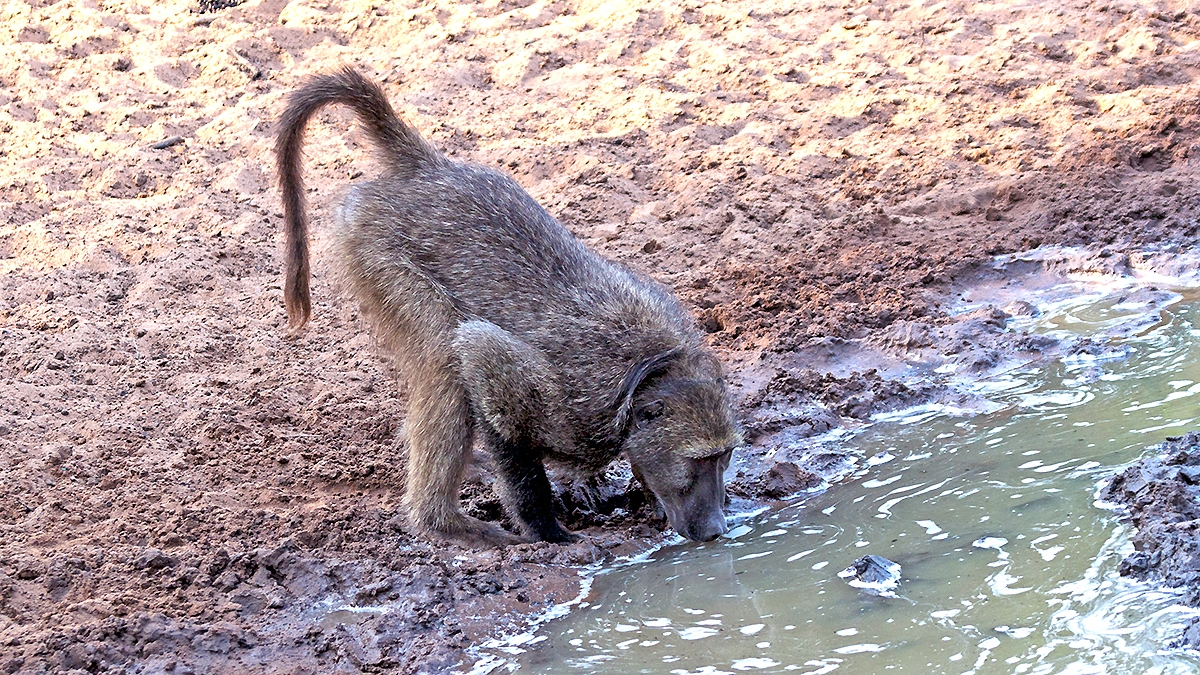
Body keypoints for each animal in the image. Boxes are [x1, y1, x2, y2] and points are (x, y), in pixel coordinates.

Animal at [276, 67, 741, 545]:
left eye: (723, 456)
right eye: (699, 461)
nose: (718, 529)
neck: (652, 373)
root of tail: (429, 169)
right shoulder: (570, 404)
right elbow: (481, 361)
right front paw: (549, 531)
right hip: (374, 248)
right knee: (444, 355)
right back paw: (446, 524)